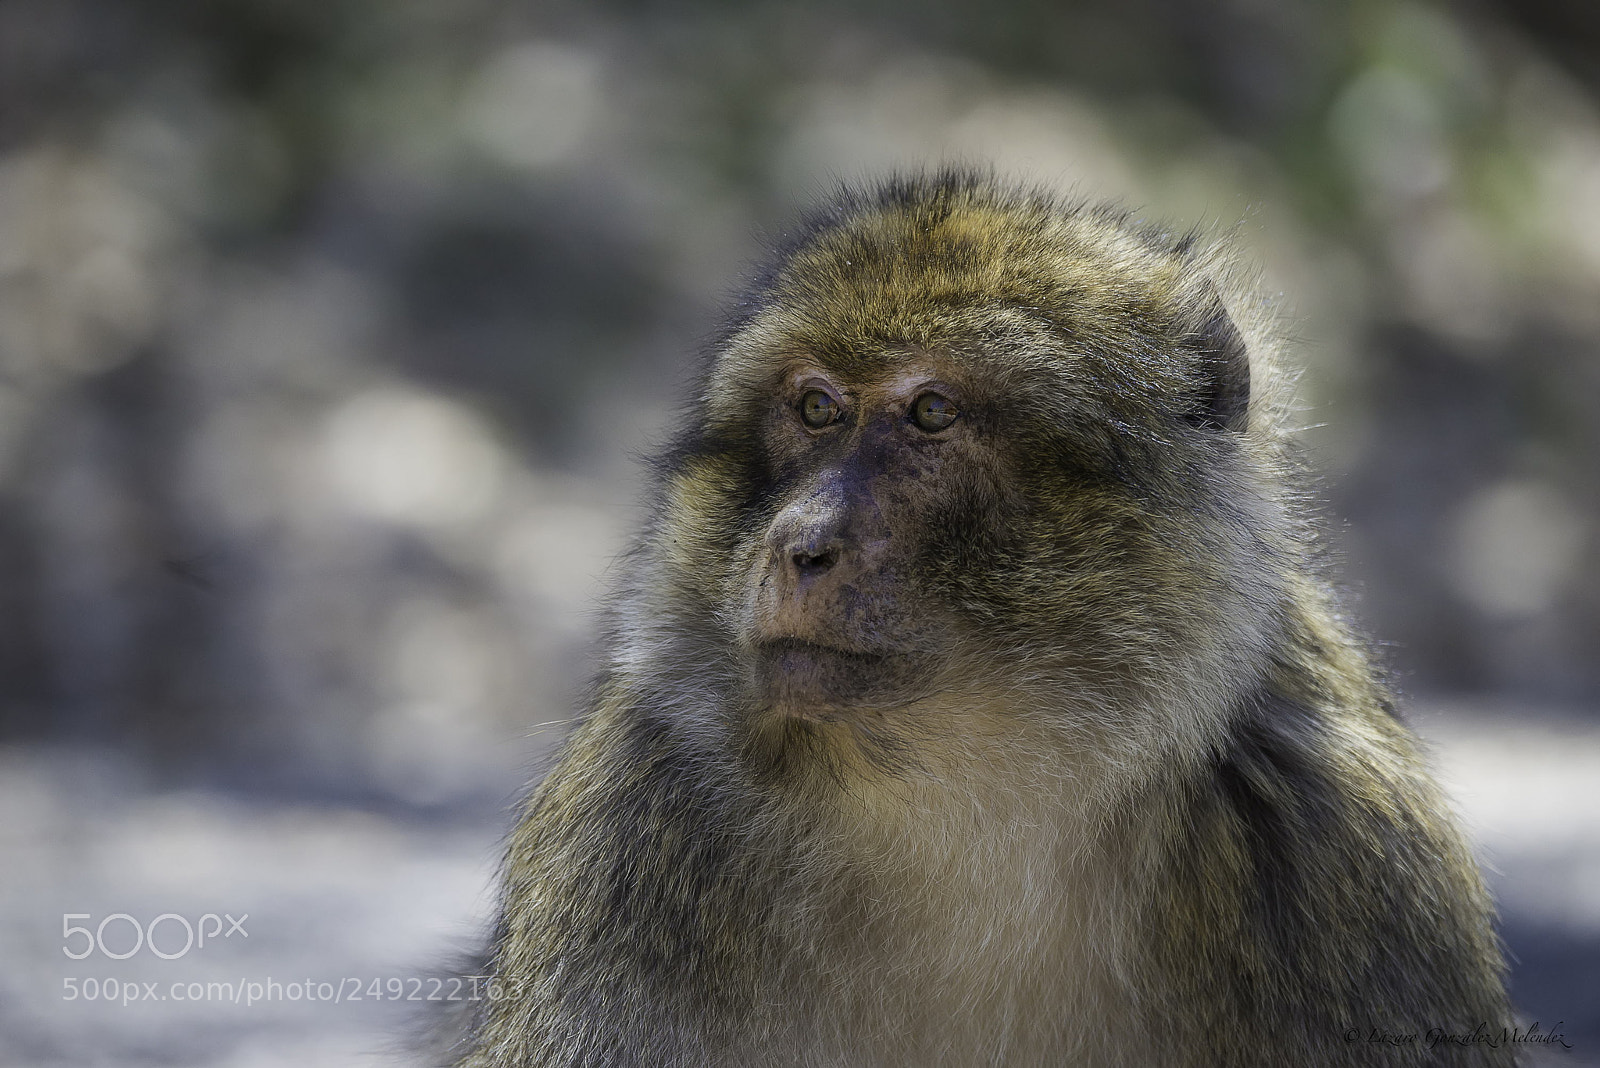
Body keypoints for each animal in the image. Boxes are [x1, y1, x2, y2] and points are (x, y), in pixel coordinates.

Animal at [450, 171, 1512, 1067]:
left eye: (930, 413)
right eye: (816, 408)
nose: (800, 543)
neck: (964, 816)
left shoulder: (1347, 843)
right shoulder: (630, 828)